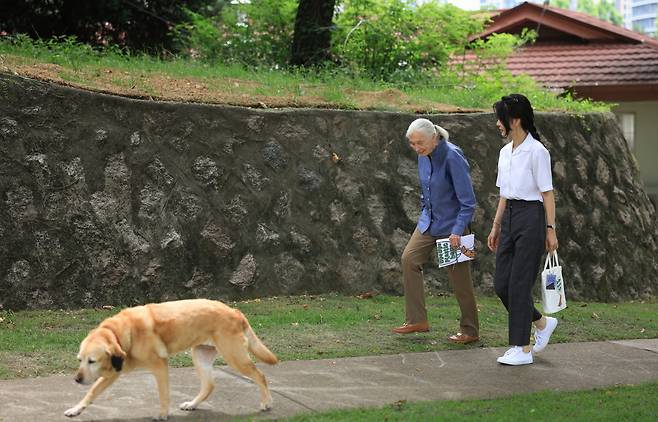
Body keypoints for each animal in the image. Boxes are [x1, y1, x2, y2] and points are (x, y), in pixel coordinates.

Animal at [62, 298, 276, 420]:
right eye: (80, 360)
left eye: (92, 361)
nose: (76, 379)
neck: (118, 333)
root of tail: (235, 312)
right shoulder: (113, 372)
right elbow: (91, 392)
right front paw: (76, 409)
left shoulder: (159, 366)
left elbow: (164, 394)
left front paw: (163, 415)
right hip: (200, 356)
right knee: (209, 385)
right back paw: (192, 405)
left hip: (235, 357)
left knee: (261, 376)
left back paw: (266, 403)